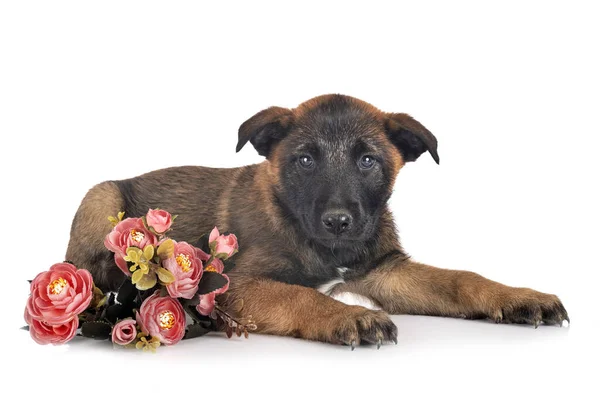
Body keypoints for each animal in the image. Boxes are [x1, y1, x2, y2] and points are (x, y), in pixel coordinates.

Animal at [65, 94, 568, 346]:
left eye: (367, 161)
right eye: (305, 160)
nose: (339, 221)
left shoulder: (385, 270)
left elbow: (461, 279)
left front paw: (520, 297)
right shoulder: (234, 283)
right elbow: (298, 295)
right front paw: (348, 316)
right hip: (100, 195)